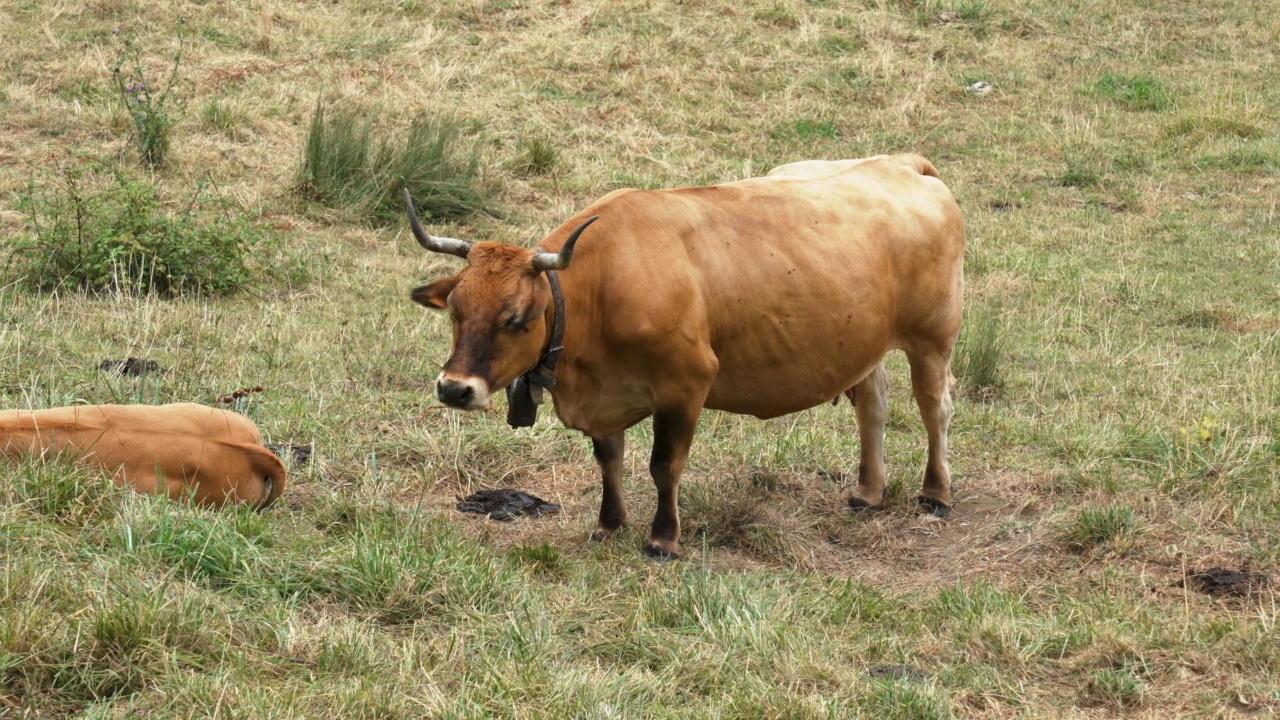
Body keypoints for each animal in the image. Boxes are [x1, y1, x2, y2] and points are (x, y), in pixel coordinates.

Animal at [409, 151, 962, 558]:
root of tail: (901, 163)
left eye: (517, 319)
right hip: (864, 345)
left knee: (934, 408)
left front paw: (663, 539)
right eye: (456, 310)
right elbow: (609, 460)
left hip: (933, 339)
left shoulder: (686, 384)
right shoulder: (607, 397)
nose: (455, 389)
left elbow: (664, 465)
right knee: (873, 405)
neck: (604, 283)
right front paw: (609, 524)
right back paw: (868, 492)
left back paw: (935, 493)